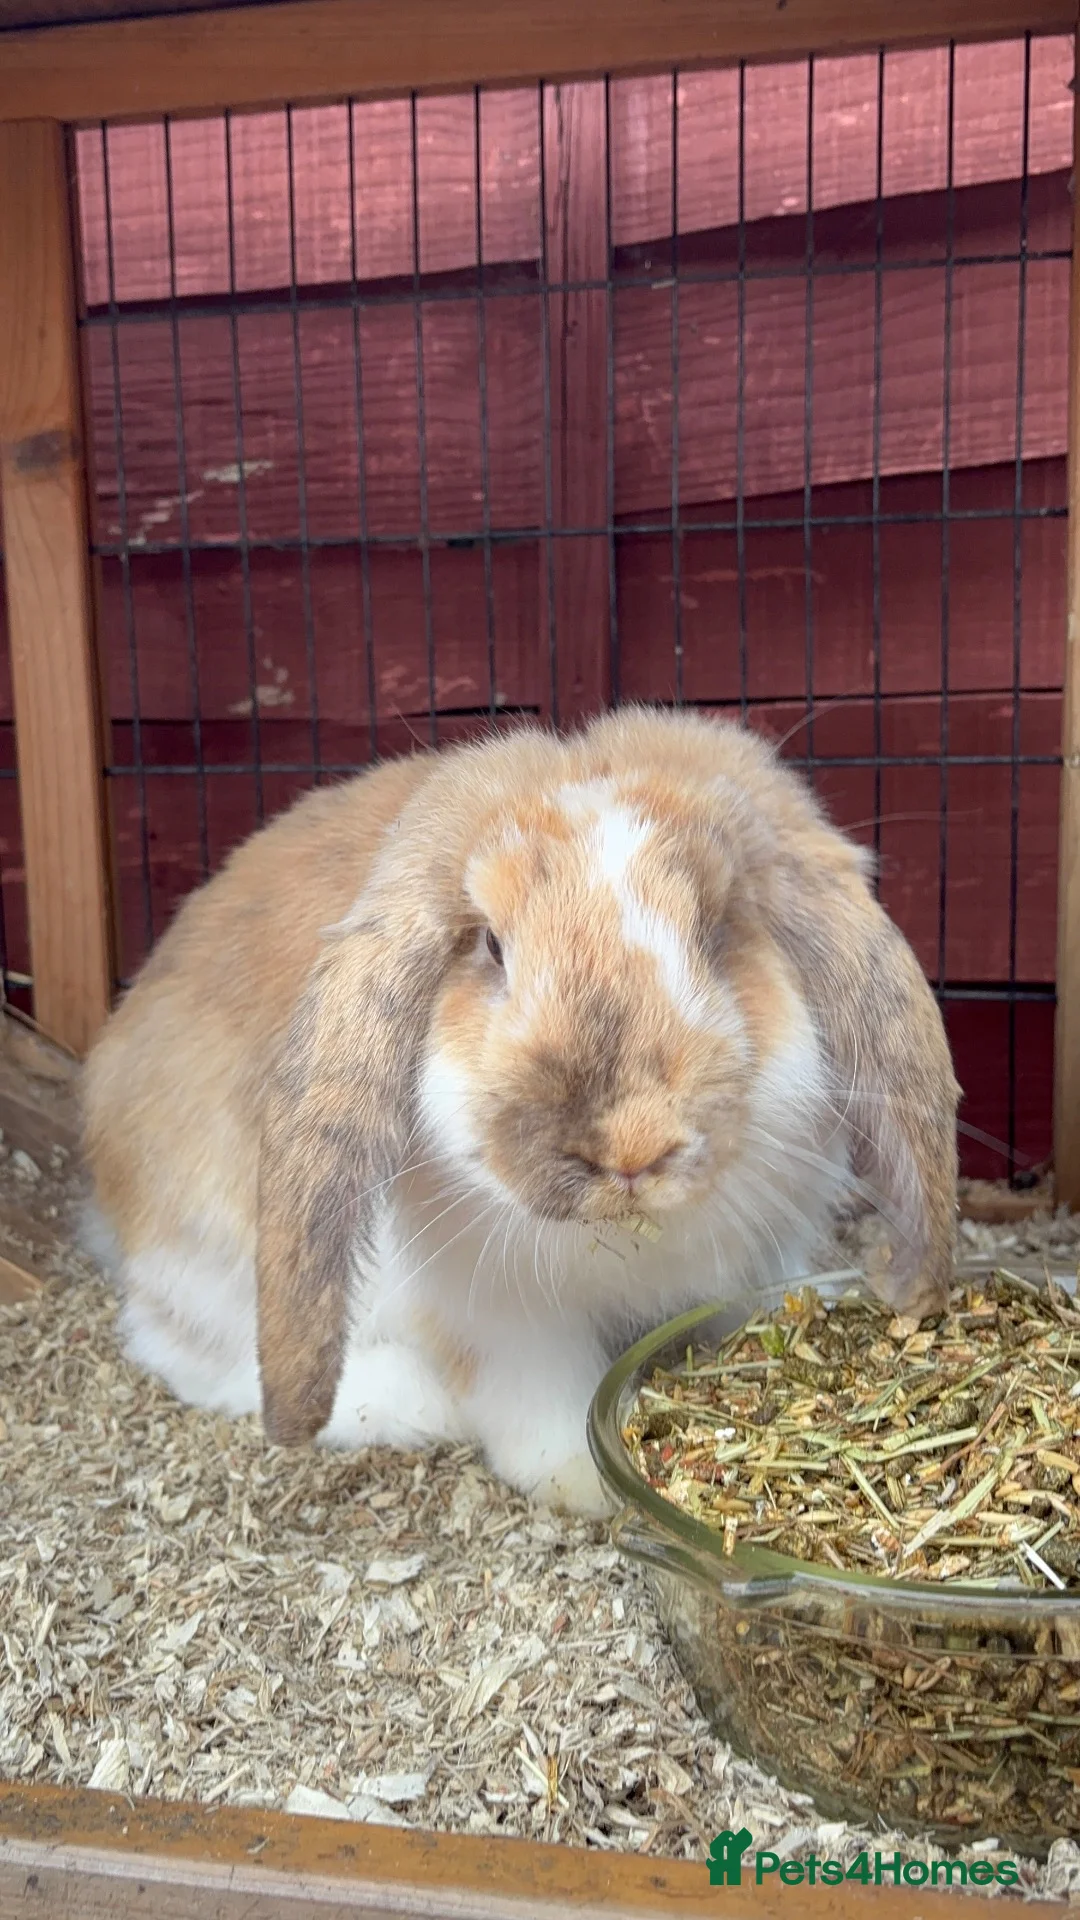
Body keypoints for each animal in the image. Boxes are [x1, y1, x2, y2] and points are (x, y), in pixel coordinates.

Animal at [81, 706, 960, 1515]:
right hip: (208, 1248)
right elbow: (543, 1401)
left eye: (717, 930)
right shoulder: (498, 1318)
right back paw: (408, 1403)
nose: (631, 1147)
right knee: (188, 1354)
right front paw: (588, 1483)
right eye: (492, 947)